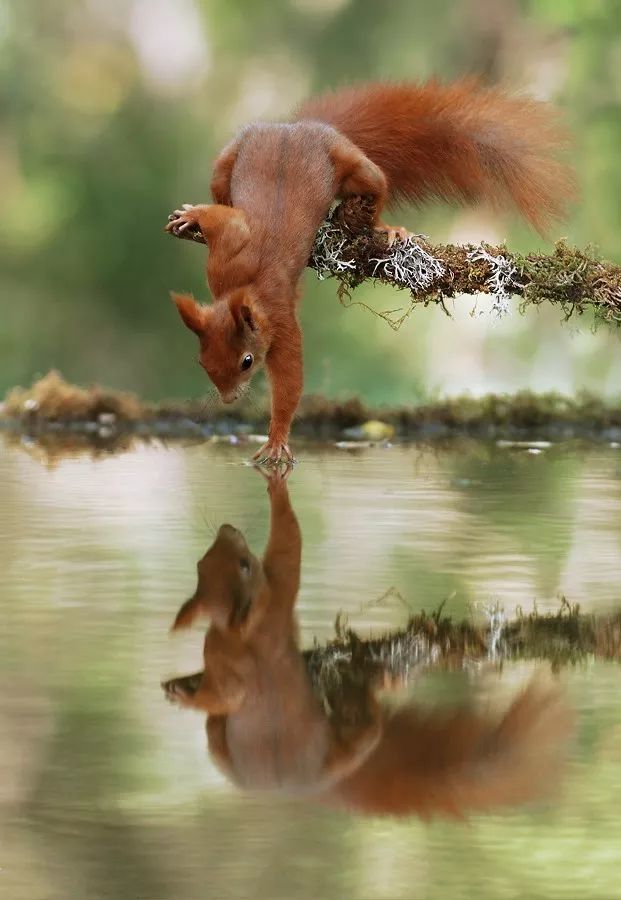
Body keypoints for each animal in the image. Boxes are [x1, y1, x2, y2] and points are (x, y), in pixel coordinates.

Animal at [161, 468, 572, 820]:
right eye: (240, 564)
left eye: (208, 563)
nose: (227, 528)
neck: (238, 634)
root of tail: (316, 789)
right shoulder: (275, 605)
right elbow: (289, 546)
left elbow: (221, 693)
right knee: (362, 724)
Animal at [167, 79, 572, 464]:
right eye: (201, 360)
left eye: (247, 362)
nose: (228, 399)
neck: (244, 287)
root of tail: (300, 127)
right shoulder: (227, 254)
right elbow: (223, 218)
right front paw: (191, 215)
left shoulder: (279, 321)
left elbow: (290, 382)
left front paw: (277, 440)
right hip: (229, 159)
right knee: (221, 190)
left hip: (354, 166)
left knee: (374, 186)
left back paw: (385, 228)